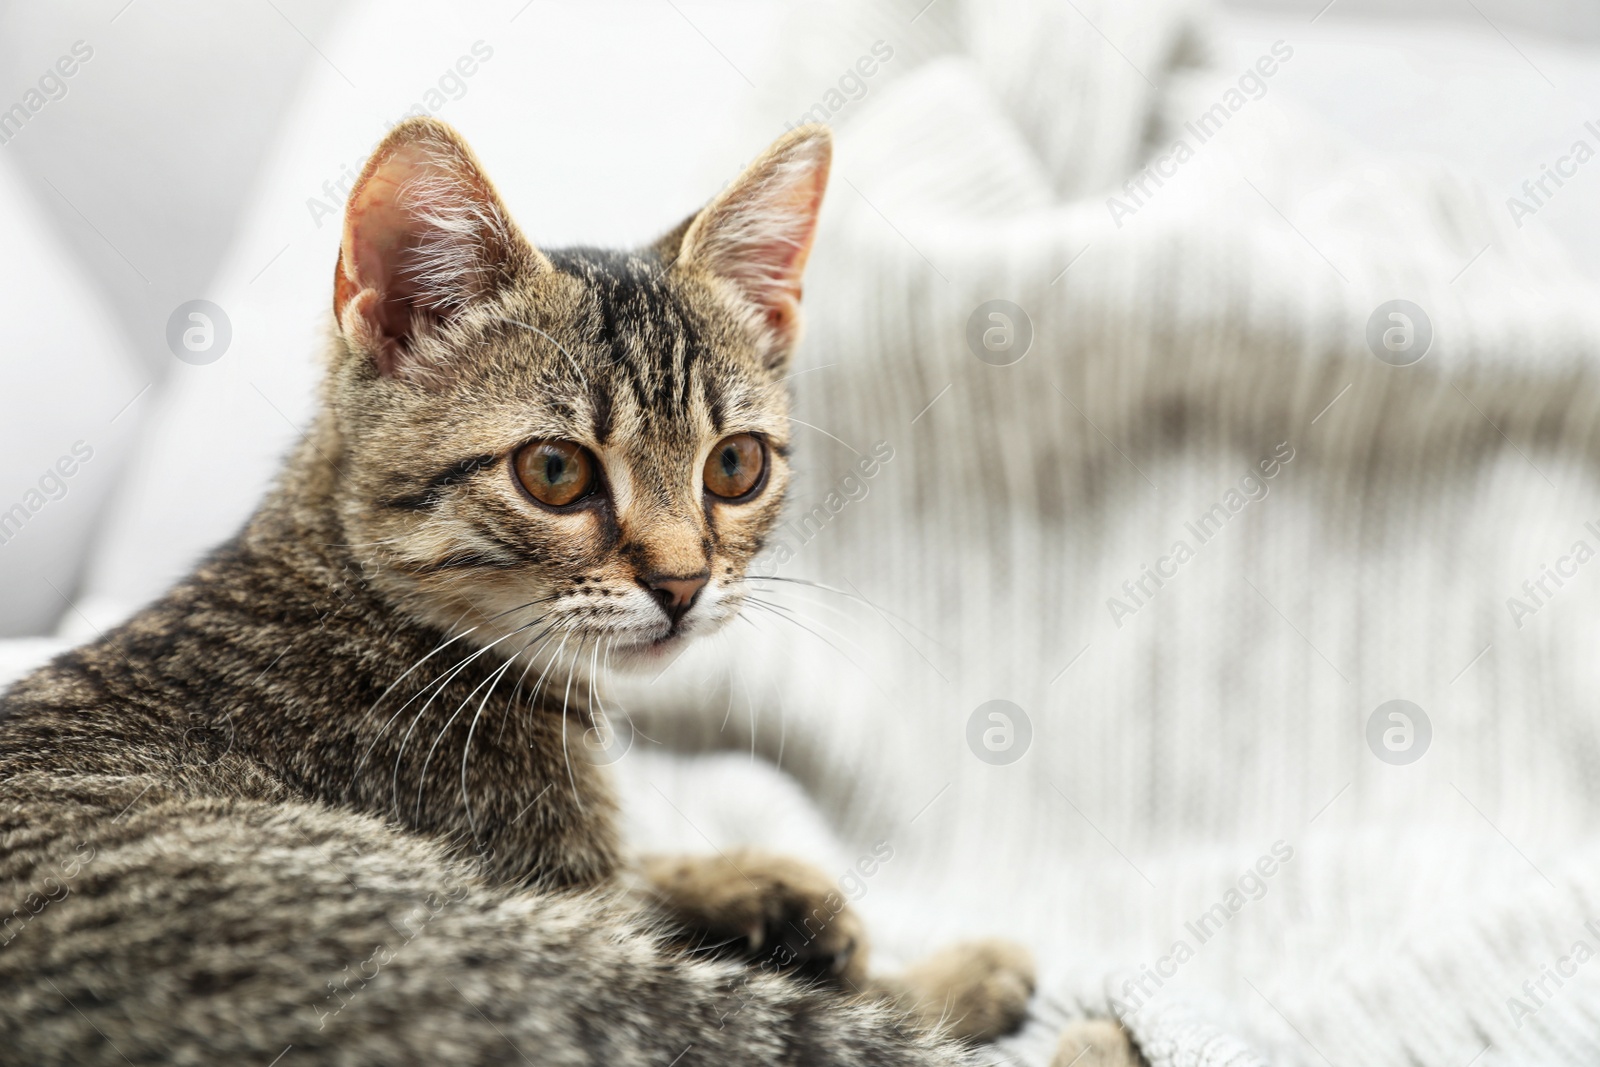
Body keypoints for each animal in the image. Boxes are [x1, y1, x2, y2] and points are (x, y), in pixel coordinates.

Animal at [0, 119, 1126, 1067]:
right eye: (553, 471)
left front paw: (774, 888)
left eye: (736, 466)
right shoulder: (555, 899)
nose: (682, 580)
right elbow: (676, 916)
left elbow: (645, 865)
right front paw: (889, 952)